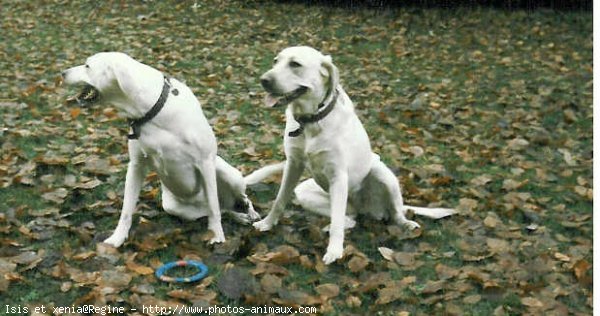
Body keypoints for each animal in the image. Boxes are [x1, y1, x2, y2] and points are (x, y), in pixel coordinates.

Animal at [63, 51, 260, 247]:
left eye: (87, 66)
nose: (62, 73)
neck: (152, 111)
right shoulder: (136, 166)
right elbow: (126, 210)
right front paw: (117, 239)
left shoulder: (205, 163)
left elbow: (214, 207)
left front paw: (217, 235)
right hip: (173, 207)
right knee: (222, 209)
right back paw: (238, 216)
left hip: (228, 173)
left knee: (235, 200)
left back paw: (250, 214)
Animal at [252, 46, 454, 264]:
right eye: (275, 61)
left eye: (295, 64)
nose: (263, 80)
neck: (312, 122)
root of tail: (365, 208)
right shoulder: (293, 164)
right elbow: (279, 199)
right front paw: (267, 223)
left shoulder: (338, 175)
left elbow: (337, 222)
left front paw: (335, 251)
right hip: (305, 192)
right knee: (349, 218)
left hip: (382, 173)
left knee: (394, 213)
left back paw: (406, 224)